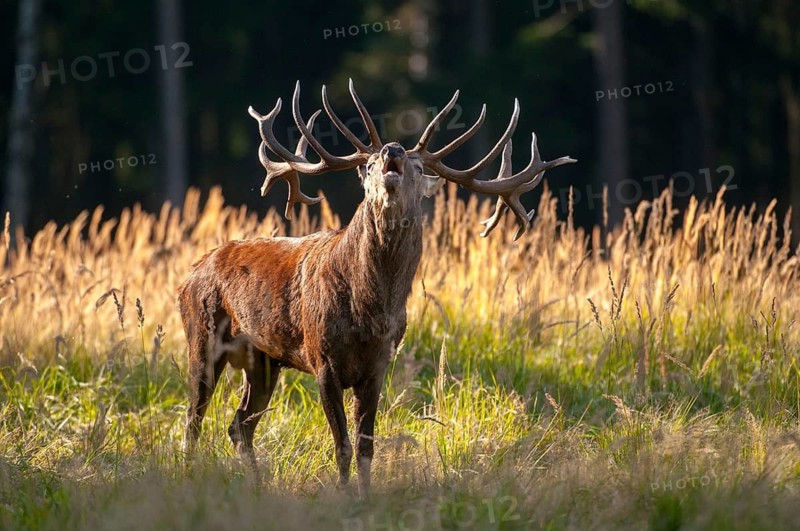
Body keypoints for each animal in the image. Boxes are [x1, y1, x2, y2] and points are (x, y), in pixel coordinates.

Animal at [178, 79, 575, 497]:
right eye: (367, 165)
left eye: (418, 166)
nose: (392, 150)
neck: (370, 310)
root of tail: (192, 271)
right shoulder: (323, 359)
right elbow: (342, 444)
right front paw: (344, 495)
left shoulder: (379, 365)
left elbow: (367, 445)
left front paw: (365, 496)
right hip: (202, 335)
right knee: (194, 419)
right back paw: (188, 476)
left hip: (264, 360)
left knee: (239, 425)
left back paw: (257, 486)